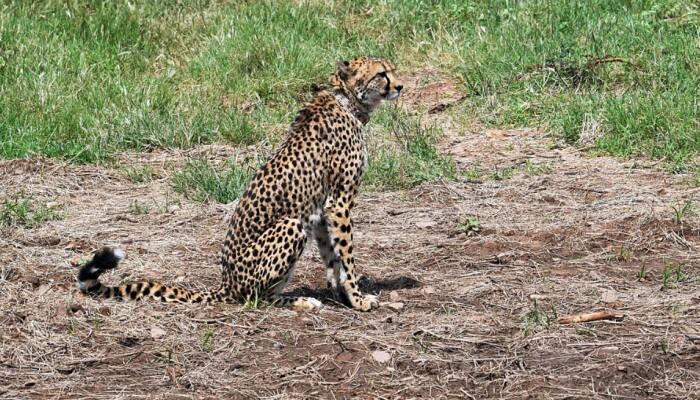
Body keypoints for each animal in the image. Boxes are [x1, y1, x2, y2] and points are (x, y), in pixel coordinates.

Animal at [77, 56, 404, 312]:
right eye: (381, 74)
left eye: (393, 70)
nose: (400, 86)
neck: (347, 101)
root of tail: (226, 283)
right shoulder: (339, 202)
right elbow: (346, 256)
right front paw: (358, 299)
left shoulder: (323, 210)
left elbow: (333, 258)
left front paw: (342, 295)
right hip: (291, 226)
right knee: (254, 297)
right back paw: (299, 301)